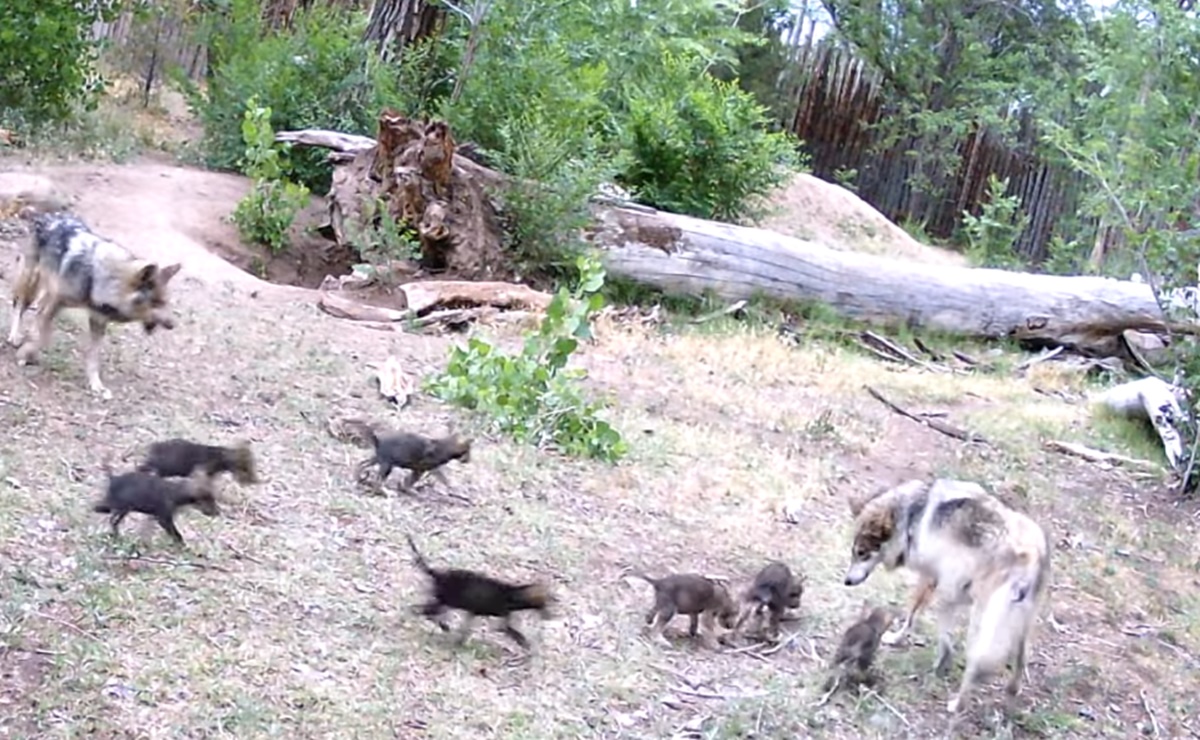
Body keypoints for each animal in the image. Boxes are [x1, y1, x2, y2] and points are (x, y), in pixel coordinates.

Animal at [844, 477, 1051, 714]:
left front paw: (898, 639)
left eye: (861, 553)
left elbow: (913, 614)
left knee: (974, 665)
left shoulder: (931, 579)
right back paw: (1012, 690)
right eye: (853, 553)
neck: (910, 518)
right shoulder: (941, 585)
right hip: (1021, 624)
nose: (846, 581)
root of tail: (1029, 554)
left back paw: (957, 704)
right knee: (1021, 657)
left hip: (978, 622)